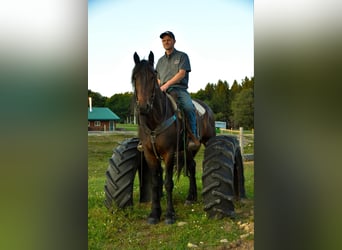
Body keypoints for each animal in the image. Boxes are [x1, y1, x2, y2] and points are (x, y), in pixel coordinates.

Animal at [132, 51, 215, 225]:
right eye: (135, 77)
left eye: (152, 76)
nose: (143, 107)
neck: (155, 121)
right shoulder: (150, 154)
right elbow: (155, 183)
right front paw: (154, 214)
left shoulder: (169, 153)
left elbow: (168, 183)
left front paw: (170, 214)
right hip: (189, 149)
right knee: (192, 166)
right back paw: (191, 197)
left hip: (207, 140)